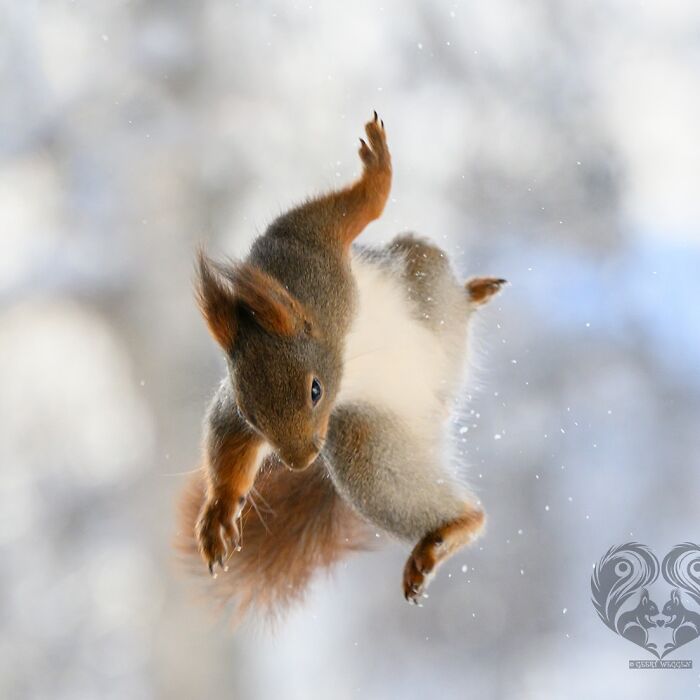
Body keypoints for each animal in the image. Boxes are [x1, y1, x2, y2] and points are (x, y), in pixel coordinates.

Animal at [176, 112, 505, 619]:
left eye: (314, 390)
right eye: (253, 414)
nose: (299, 462)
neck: (340, 347)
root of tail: (438, 403)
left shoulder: (310, 248)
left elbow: (353, 210)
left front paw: (378, 171)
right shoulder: (233, 409)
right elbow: (227, 443)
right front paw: (220, 513)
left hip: (421, 266)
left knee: (449, 293)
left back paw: (474, 292)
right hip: (365, 443)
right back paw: (445, 533)